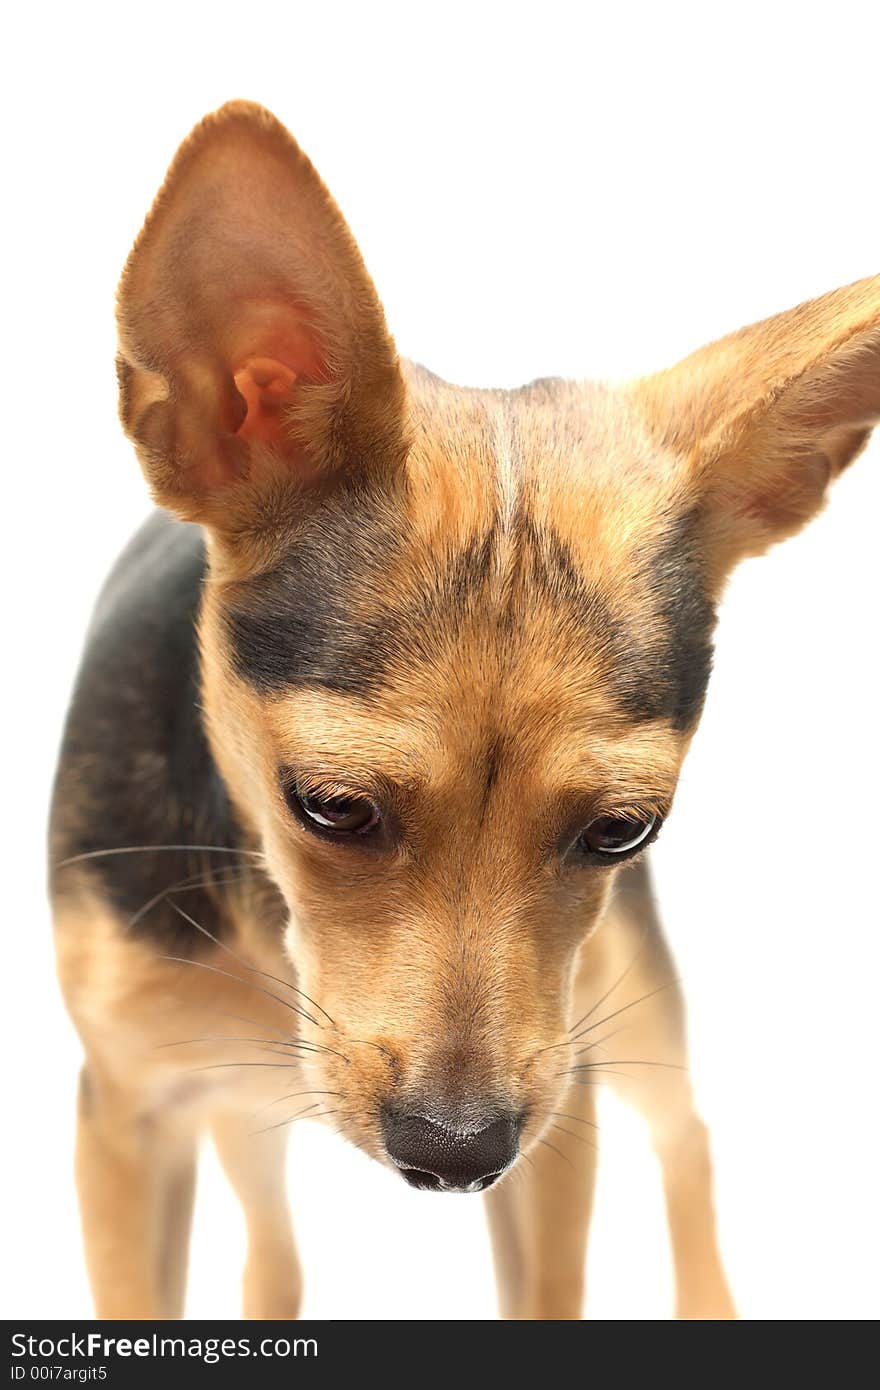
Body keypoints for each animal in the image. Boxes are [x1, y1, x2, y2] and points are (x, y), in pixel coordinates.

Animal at [49, 97, 878, 1312]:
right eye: (330, 807)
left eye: (622, 830)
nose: (454, 1154)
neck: (274, 933)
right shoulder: (128, 1120)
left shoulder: (560, 1108)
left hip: (631, 1000)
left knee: (689, 1135)